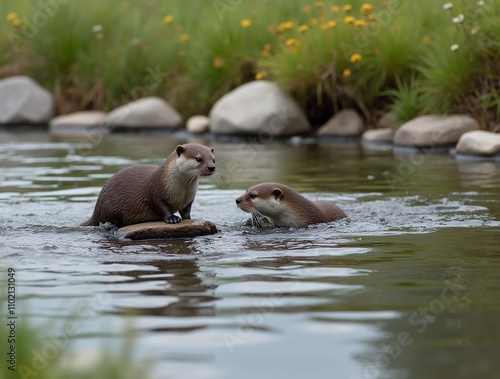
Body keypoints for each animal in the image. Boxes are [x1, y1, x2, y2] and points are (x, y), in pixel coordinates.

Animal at [80, 143, 215, 229]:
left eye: (213, 159)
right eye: (198, 158)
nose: (212, 167)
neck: (181, 191)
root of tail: (97, 207)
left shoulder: (188, 199)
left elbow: (186, 211)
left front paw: (190, 218)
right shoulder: (157, 191)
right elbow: (161, 206)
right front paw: (172, 219)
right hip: (111, 208)